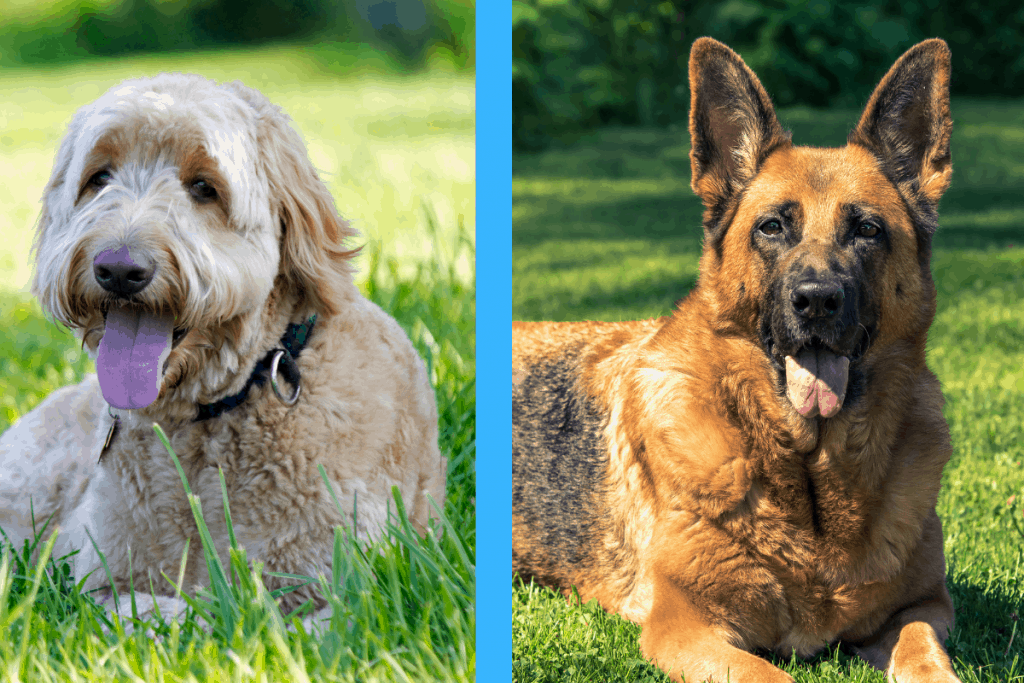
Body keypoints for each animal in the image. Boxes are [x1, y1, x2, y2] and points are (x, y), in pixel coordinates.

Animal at [1, 74, 448, 618]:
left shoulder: (347, 592)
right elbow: (160, 610)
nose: (120, 270)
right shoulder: (99, 582)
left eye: (203, 188)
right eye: (99, 178)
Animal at [516, 38, 962, 683]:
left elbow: (926, 658)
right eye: (772, 227)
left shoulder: (923, 607)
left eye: (867, 230)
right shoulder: (686, 627)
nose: (817, 300)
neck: (811, 480)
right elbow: (770, 675)